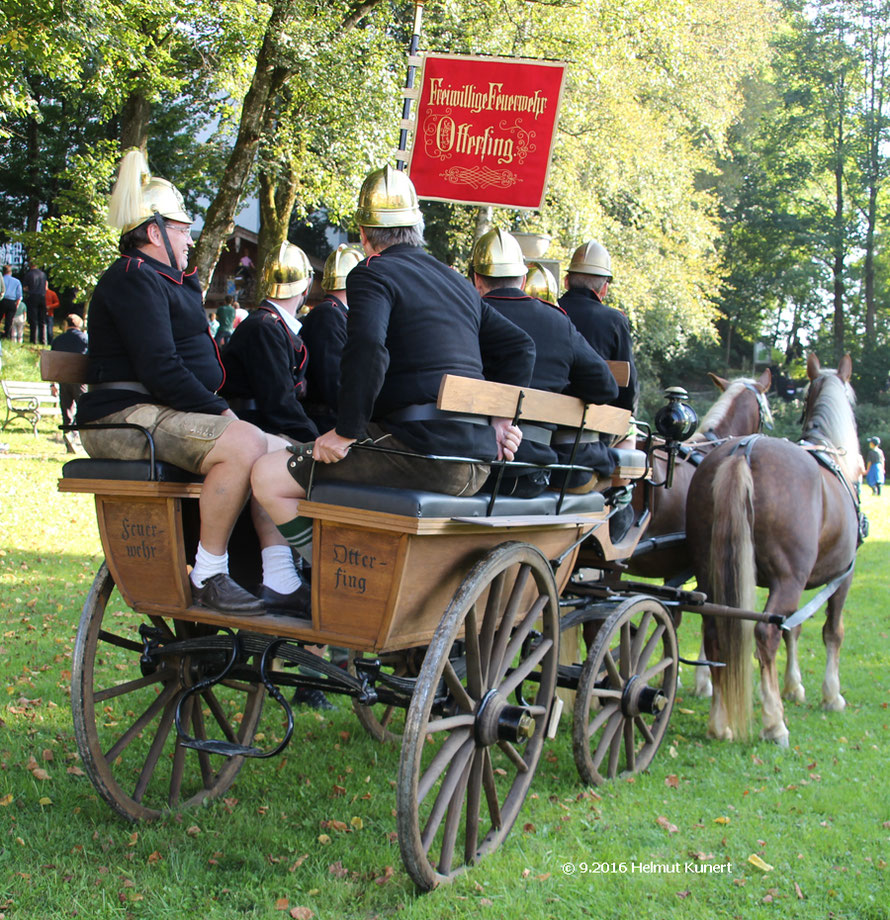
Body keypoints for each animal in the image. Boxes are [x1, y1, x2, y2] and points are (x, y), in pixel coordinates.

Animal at [680, 354, 860, 748]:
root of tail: (743, 451)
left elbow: (795, 628)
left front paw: (794, 687)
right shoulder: (842, 576)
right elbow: (832, 632)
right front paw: (831, 695)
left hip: (711, 567)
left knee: (715, 628)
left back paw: (719, 722)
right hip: (788, 579)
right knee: (765, 634)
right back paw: (774, 723)